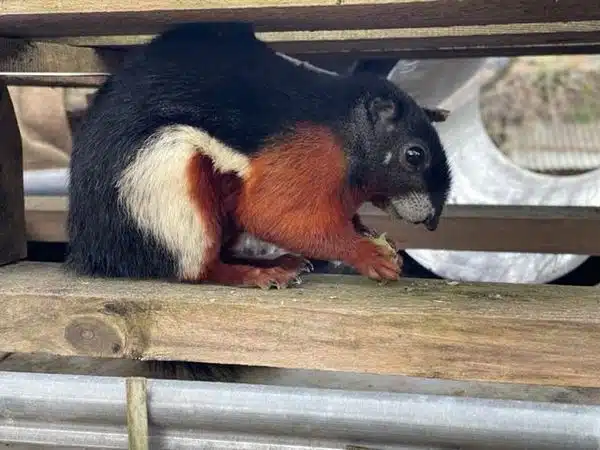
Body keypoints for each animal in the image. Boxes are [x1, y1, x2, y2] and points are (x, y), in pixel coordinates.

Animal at [64, 21, 450, 288]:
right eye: (414, 155)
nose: (433, 221)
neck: (345, 132)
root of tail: (94, 251)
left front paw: (369, 233)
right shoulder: (304, 161)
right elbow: (274, 216)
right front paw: (366, 253)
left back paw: (276, 263)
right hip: (169, 194)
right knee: (199, 268)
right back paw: (252, 275)